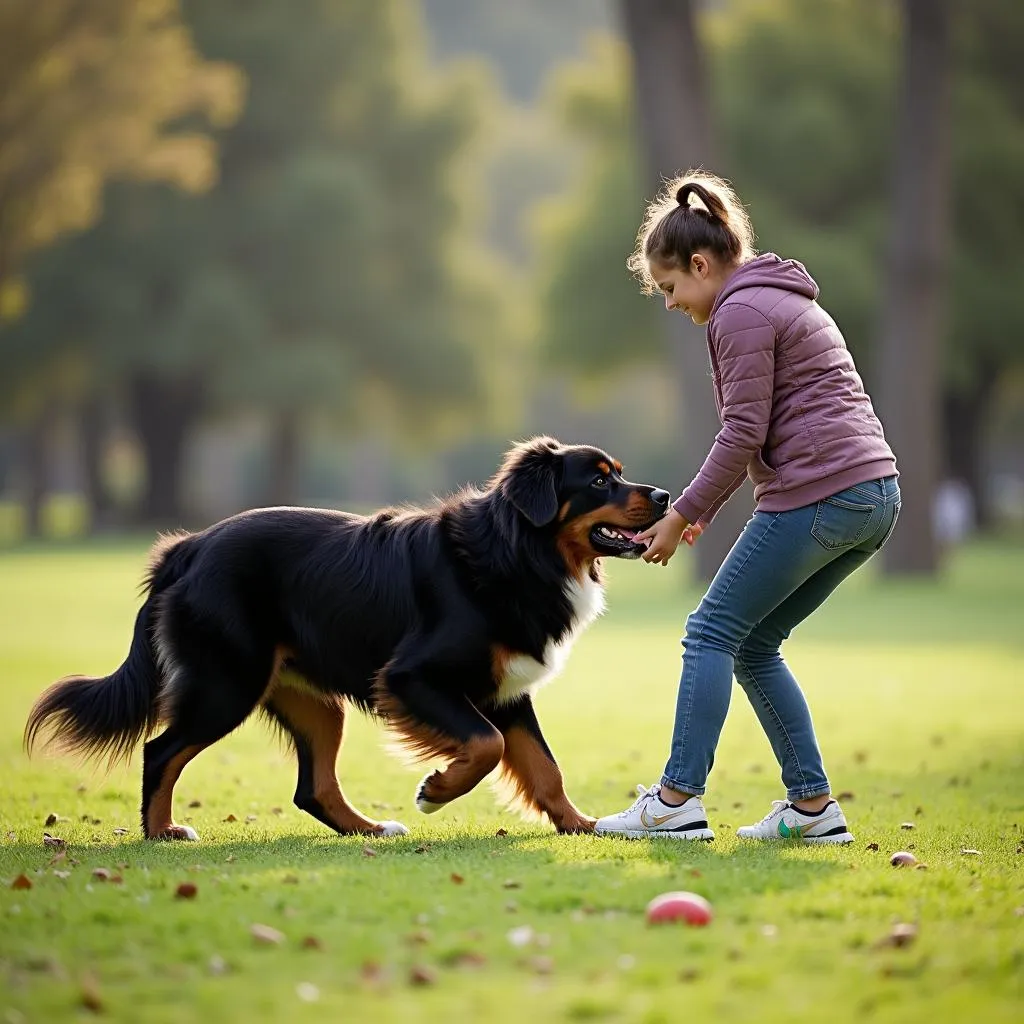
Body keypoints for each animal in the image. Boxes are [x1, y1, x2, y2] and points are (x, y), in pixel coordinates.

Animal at [24, 434, 667, 839]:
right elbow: (485, 745)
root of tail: (188, 547)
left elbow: (544, 767)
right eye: (599, 481)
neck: (519, 552)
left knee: (312, 789)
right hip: (226, 683)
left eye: (619, 475)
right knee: (161, 751)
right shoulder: (413, 677)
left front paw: (580, 826)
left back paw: (372, 830)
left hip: (312, 702)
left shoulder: (507, 691)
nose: (663, 495)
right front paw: (437, 789)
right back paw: (161, 831)